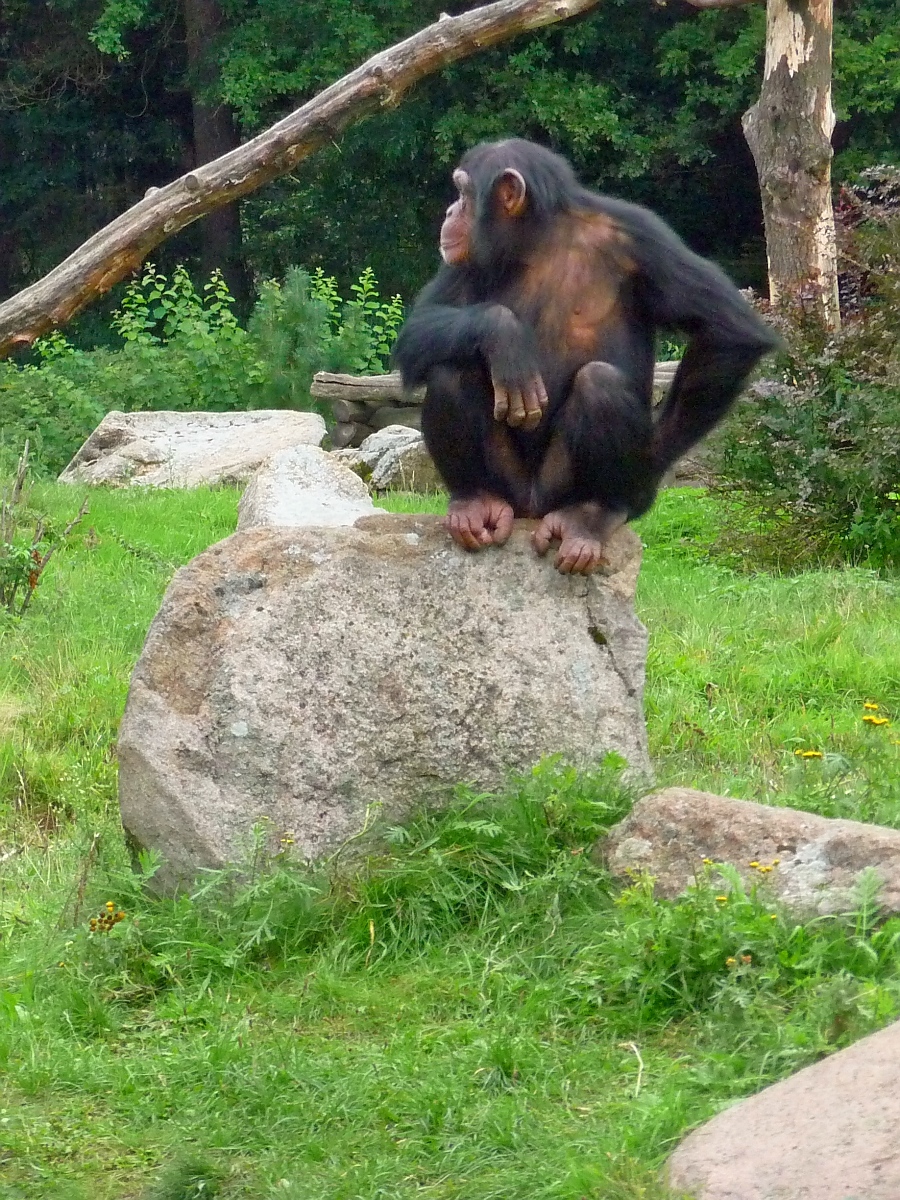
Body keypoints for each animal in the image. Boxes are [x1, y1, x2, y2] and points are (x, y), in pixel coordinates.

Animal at [393, 140, 782, 571]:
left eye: (463, 192)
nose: (450, 212)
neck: (537, 240)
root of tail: (532, 508)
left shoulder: (643, 235)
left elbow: (728, 331)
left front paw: (644, 481)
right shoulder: (463, 258)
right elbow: (416, 329)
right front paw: (503, 334)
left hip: (558, 489)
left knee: (600, 383)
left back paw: (595, 512)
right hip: (512, 486)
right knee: (452, 369)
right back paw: (475, 500)